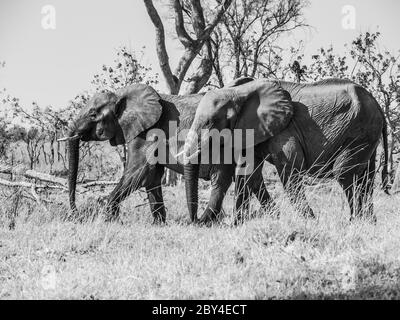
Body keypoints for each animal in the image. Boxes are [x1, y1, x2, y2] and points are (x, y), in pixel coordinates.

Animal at [65, 81, 272, 224]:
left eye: (93, 114)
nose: (76, 214)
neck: (123, 95)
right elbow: (151, 176)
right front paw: (158, 224)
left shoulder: (147, 133)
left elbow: (137, 173)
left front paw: (110, 220)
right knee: (251, 178)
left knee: (228, 178)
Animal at [183, 77, 390, 222]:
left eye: (210, 122)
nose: (195, 220)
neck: (240, 92)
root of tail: (377, 104)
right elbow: (247, 172)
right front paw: (236, 224)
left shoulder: (285, 131)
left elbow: (289, 170)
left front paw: (309, 222)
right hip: (367, 134)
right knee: (366, 177)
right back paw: (368, 222)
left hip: (361, 129)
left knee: (345, 173)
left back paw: (355, 221)